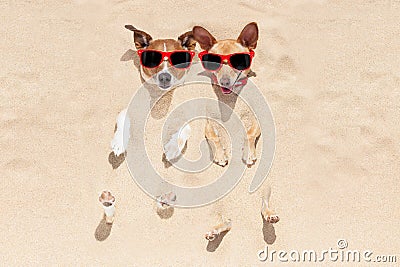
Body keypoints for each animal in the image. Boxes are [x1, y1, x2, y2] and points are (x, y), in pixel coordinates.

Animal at [192, 23, 260, 166]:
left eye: (239, 62)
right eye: (214, 63)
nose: (224, 82)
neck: (230, 99)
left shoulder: (256, 120)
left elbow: (249, 133)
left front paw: (248, 153)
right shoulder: (208, 125)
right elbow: (215, 137)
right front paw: (220, 154)